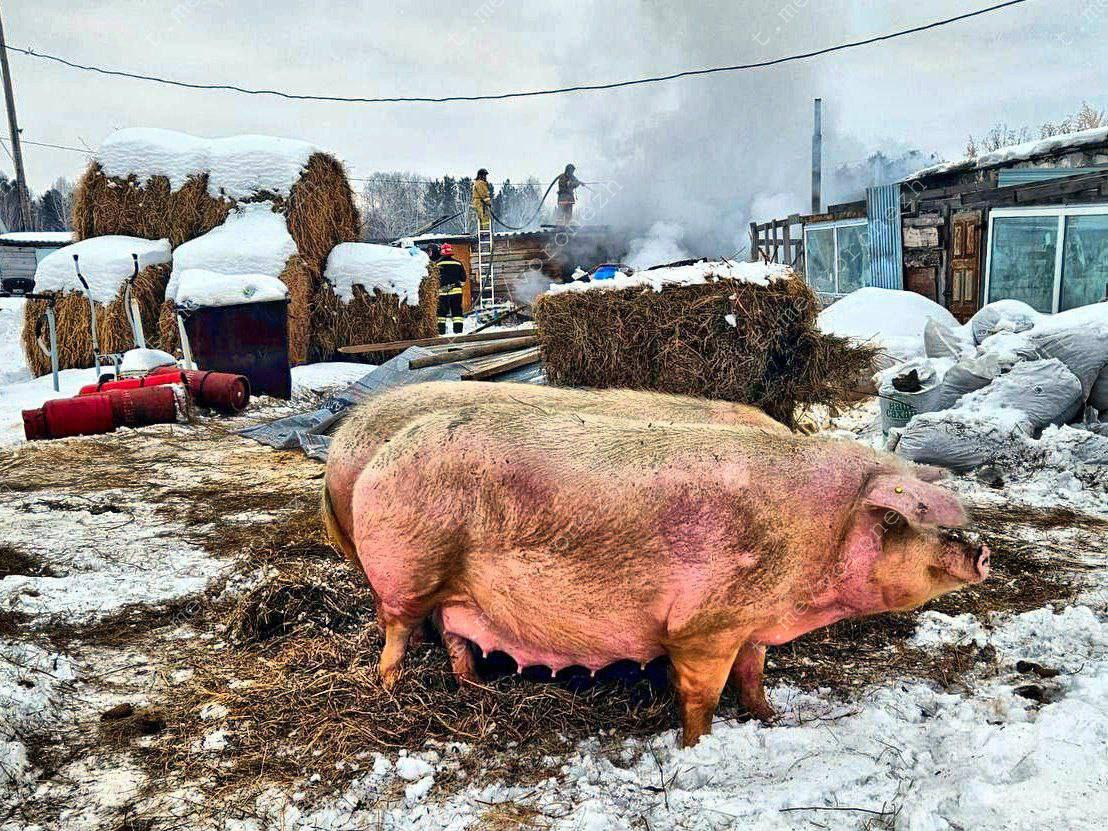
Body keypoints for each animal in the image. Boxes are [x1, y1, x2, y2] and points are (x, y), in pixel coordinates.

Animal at [345, 403, 988, 749]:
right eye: (906, 519)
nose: (981, 550)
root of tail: (383, 452)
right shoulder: (704, 625)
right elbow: (702, 693)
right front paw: (697, 746)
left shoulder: (752, 623)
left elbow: (753, 676)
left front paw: (771, 718)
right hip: (406, 568)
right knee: (397, 629)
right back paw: (389, 689)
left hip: (456, 591)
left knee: (454, 634)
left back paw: (477, 689)